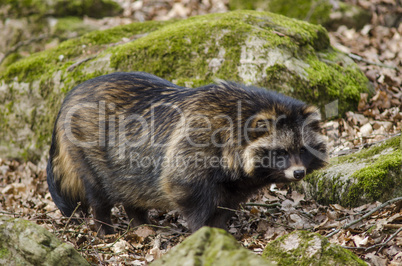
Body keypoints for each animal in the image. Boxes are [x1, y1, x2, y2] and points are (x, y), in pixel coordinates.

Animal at [47, 71, 326, 235]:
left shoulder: (234, 182)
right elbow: (188, 194)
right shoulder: (194, 147)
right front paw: (201, 232)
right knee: (99, 192)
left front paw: (221, 233)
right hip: (86, 148)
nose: (298, 173)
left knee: (131, 186)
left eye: (302, 150)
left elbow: (225, 206)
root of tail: (71, 96)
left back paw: (140, 222)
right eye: (281, 151)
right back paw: (105, 226)